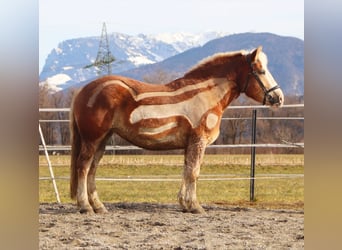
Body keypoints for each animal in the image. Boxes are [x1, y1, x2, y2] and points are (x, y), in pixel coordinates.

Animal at [69, 46, 284, 214]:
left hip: (102, 140)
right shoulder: (198, 141)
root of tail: (84, 90)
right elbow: (194, 173)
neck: (205, 93)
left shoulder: (190, 144)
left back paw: (98, 206)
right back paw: (85, 206)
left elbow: (187, 171)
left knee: (92, 169)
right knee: (83, 167)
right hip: (92, 139)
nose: (279, 98)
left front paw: (184, 204)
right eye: (261, 71)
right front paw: (195, 206)